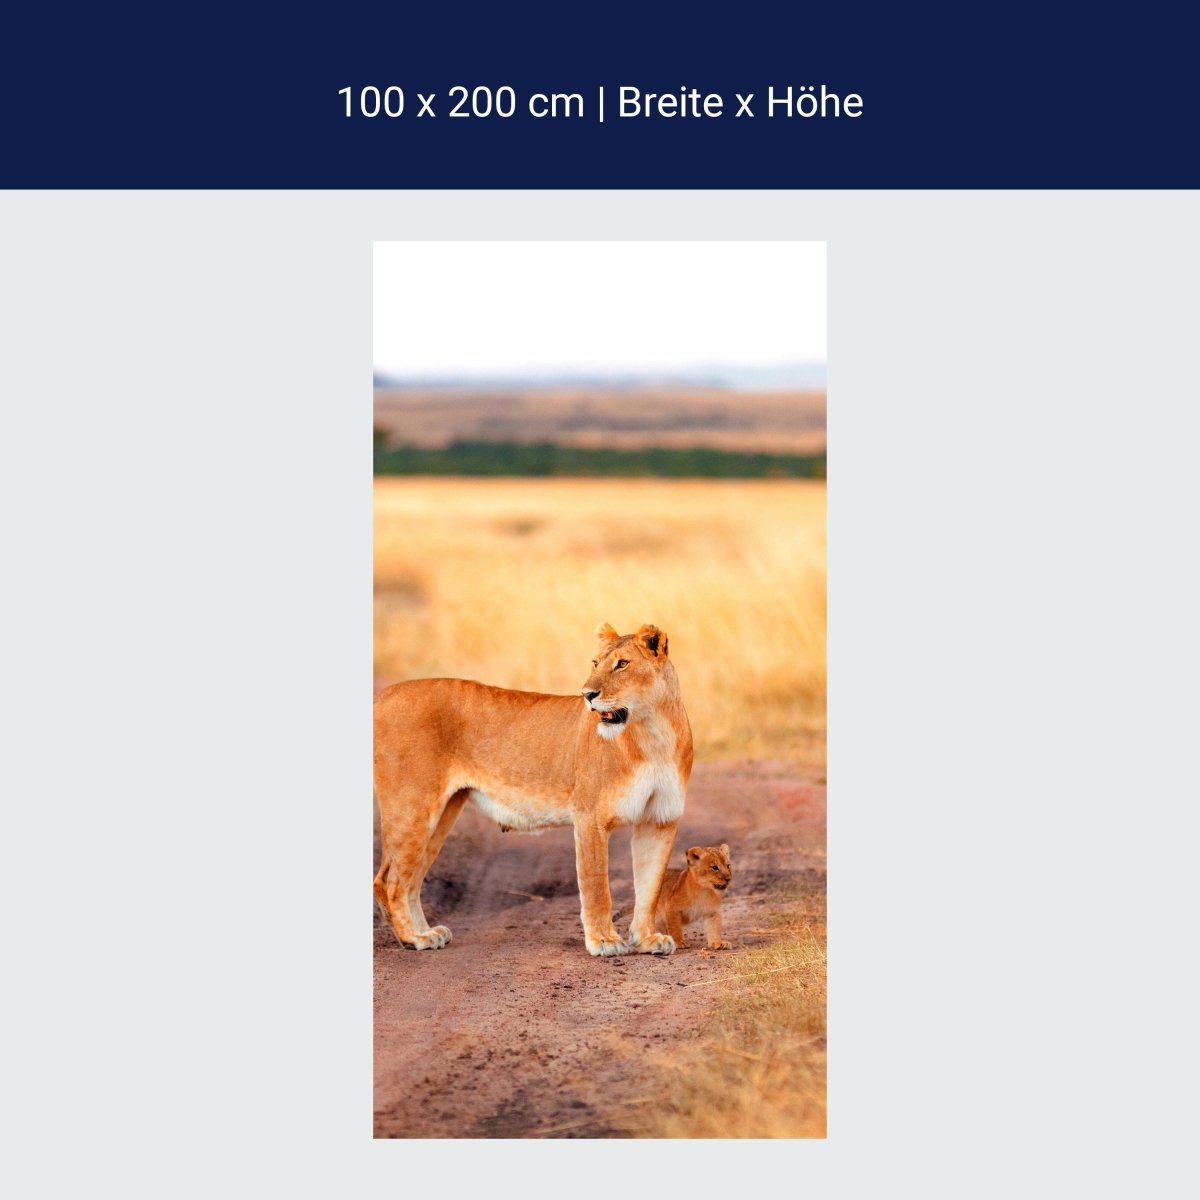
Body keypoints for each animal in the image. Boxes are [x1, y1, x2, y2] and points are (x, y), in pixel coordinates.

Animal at [373, 622, 692, 957]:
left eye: (622, 664)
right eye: (595, 663)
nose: (587, 694)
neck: (652, 733)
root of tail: (382, 695)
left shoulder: (659, 820)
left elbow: (649, 887)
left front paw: (646, 939)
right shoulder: (589, 817)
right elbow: (596, 887)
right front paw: (604, 941)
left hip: (443, 814)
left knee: (409, 880)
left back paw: (425, 932)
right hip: (413, 808)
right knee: (390, 881)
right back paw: (414, 937)